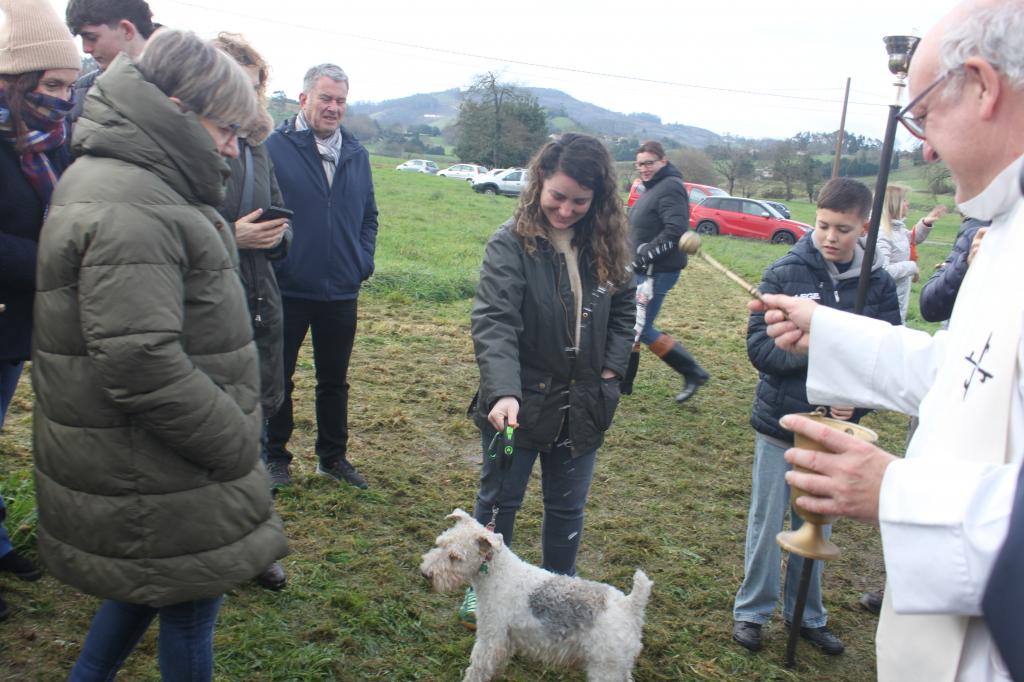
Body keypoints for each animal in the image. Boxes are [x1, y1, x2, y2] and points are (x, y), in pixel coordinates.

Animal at [420, 508, 653, 682]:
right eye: (440, 544)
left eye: (455, 557)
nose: (426, 574)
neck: (497, 574)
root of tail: (631, 605)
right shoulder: (505, 638)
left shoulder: (490, 636)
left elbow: (478, 667)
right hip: (618, 667)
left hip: (606, 668)